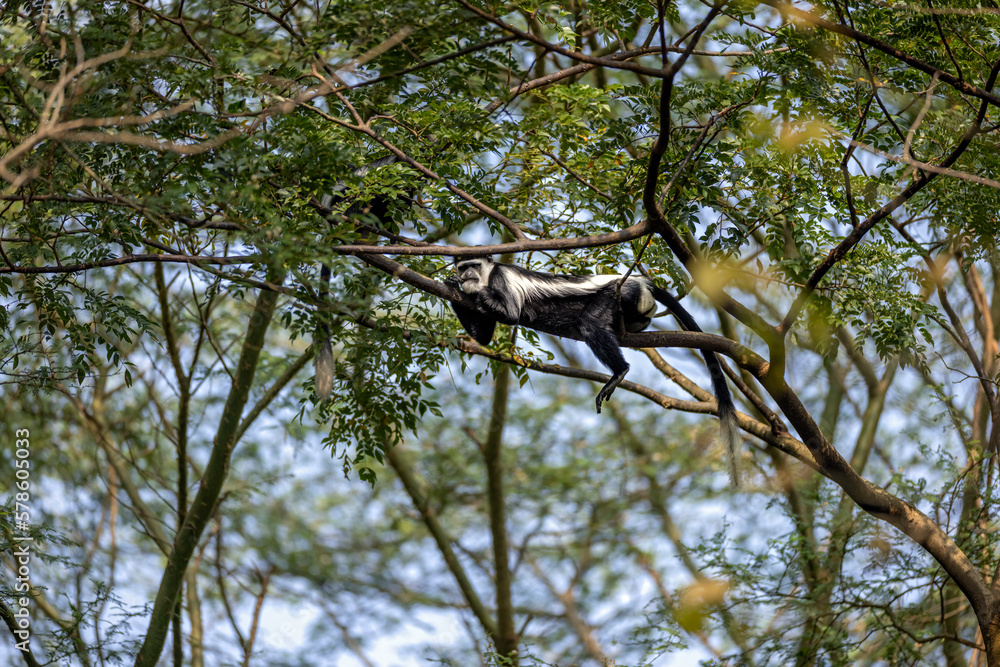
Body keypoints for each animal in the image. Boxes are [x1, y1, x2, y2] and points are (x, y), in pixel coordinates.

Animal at [446, 258, 744, 486]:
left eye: (474, 266)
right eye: (463, 267)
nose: (468, 275)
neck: (486, 277)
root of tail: (640, 281)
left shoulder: (500, 278)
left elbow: (509, 313)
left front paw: (471, 292)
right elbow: (483, 338)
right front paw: (452, 285)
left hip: (617, 293)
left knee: (590, 323)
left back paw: (619, 372)